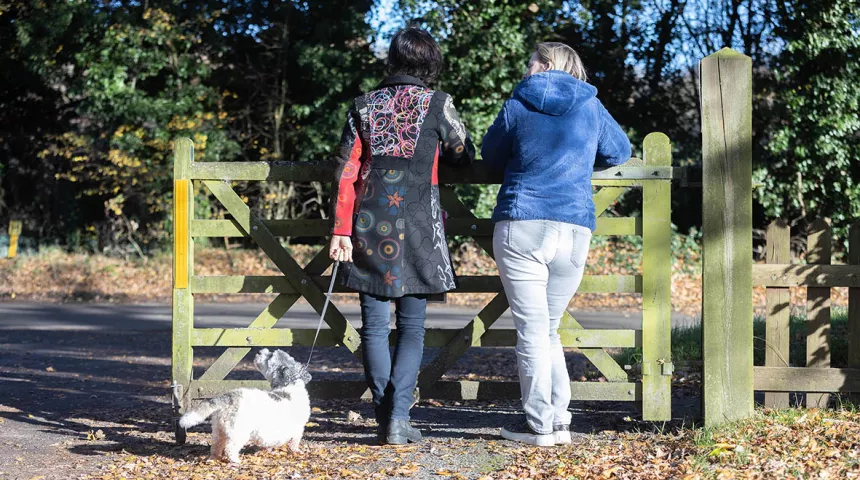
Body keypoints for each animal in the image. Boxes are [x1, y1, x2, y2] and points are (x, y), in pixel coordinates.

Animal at [181, 346, 312, 464]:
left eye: (270, 356)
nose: (260, 351)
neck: (290, 385)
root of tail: (228, 397)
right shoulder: (298, 429)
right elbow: (294, 442)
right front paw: (295, 451)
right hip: (238, 432)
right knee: (230, 448)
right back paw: (235, 460)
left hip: (218, 430)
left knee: (216, 446)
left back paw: (214, 458)